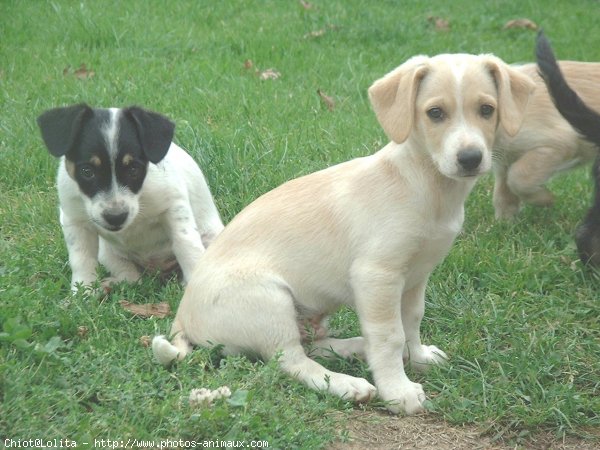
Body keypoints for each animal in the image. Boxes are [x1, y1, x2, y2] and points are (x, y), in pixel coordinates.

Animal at [37, 103, 225, 292]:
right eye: (87, 171)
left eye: (134, 169)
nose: (115, 217)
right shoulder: (74, 220)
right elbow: (81, 258)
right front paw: (83, 292)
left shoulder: (174, 206)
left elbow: (186, 245)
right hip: (107, 254)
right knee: (132, 278)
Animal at [154, 53, 536, 414]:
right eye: (435, 113)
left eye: (487, 109)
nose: (470, 158)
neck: (424, 184)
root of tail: (182, 314)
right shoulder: (377, 275)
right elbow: (389, 334)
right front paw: (397, 390)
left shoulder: (416, 277)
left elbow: (411, 322)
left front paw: (417, 358)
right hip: (268, 302)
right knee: (291, 361)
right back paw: (346, 384)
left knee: (313, 347)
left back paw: (354, 348)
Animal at [492, 52, 600, 218]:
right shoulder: (504, 160)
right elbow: (502, 192)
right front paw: (504, 221)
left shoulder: (557, 143)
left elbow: (518, 178)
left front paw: (544, 198)